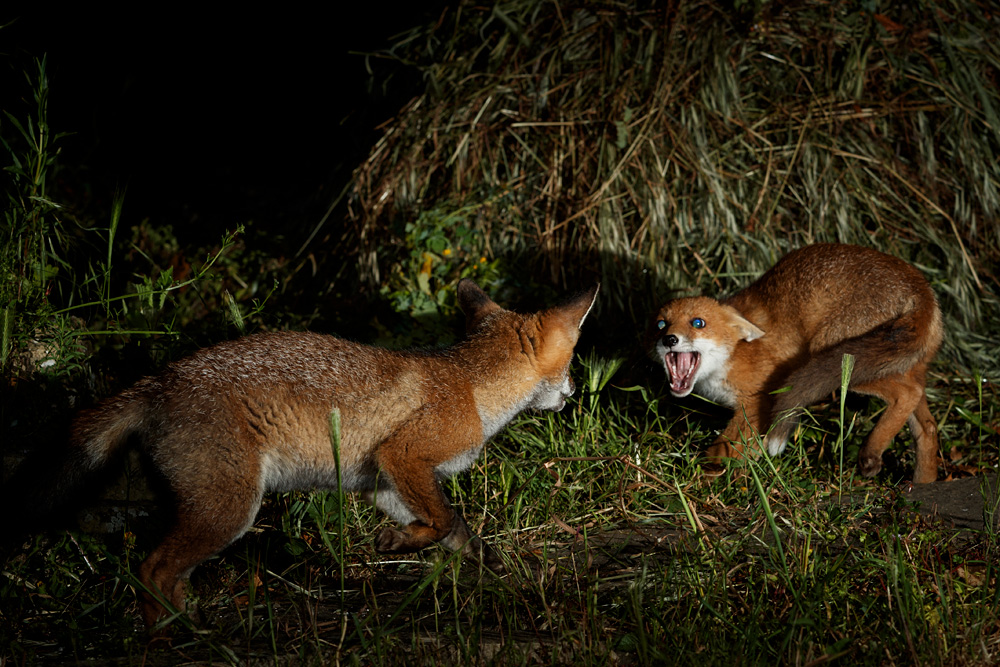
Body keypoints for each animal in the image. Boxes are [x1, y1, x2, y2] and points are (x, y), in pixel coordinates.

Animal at [6, 279, 598, 628]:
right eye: (571, 361)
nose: (575, 392)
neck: (472, 389)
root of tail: (158, 380)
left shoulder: (384, 483)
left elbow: (457, 532)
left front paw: (490, 568)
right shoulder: (403, 455)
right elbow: (444, 521)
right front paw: (399, 544)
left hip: (169, 501)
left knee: (129, 548)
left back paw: (188, 623)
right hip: (230, 510)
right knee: (152, 569)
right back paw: (176, 639)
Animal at [648, 243, 942, 484]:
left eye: (698, 323)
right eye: (661, 324)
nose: (669, 339)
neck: (735, 354)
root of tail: (920, 285)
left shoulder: (758, 400)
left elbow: (725, 451)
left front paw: (706, 483)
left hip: (837, 354)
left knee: (907, 393)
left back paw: (871, 454)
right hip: (901, 364)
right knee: (927, 424)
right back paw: (923, 485)